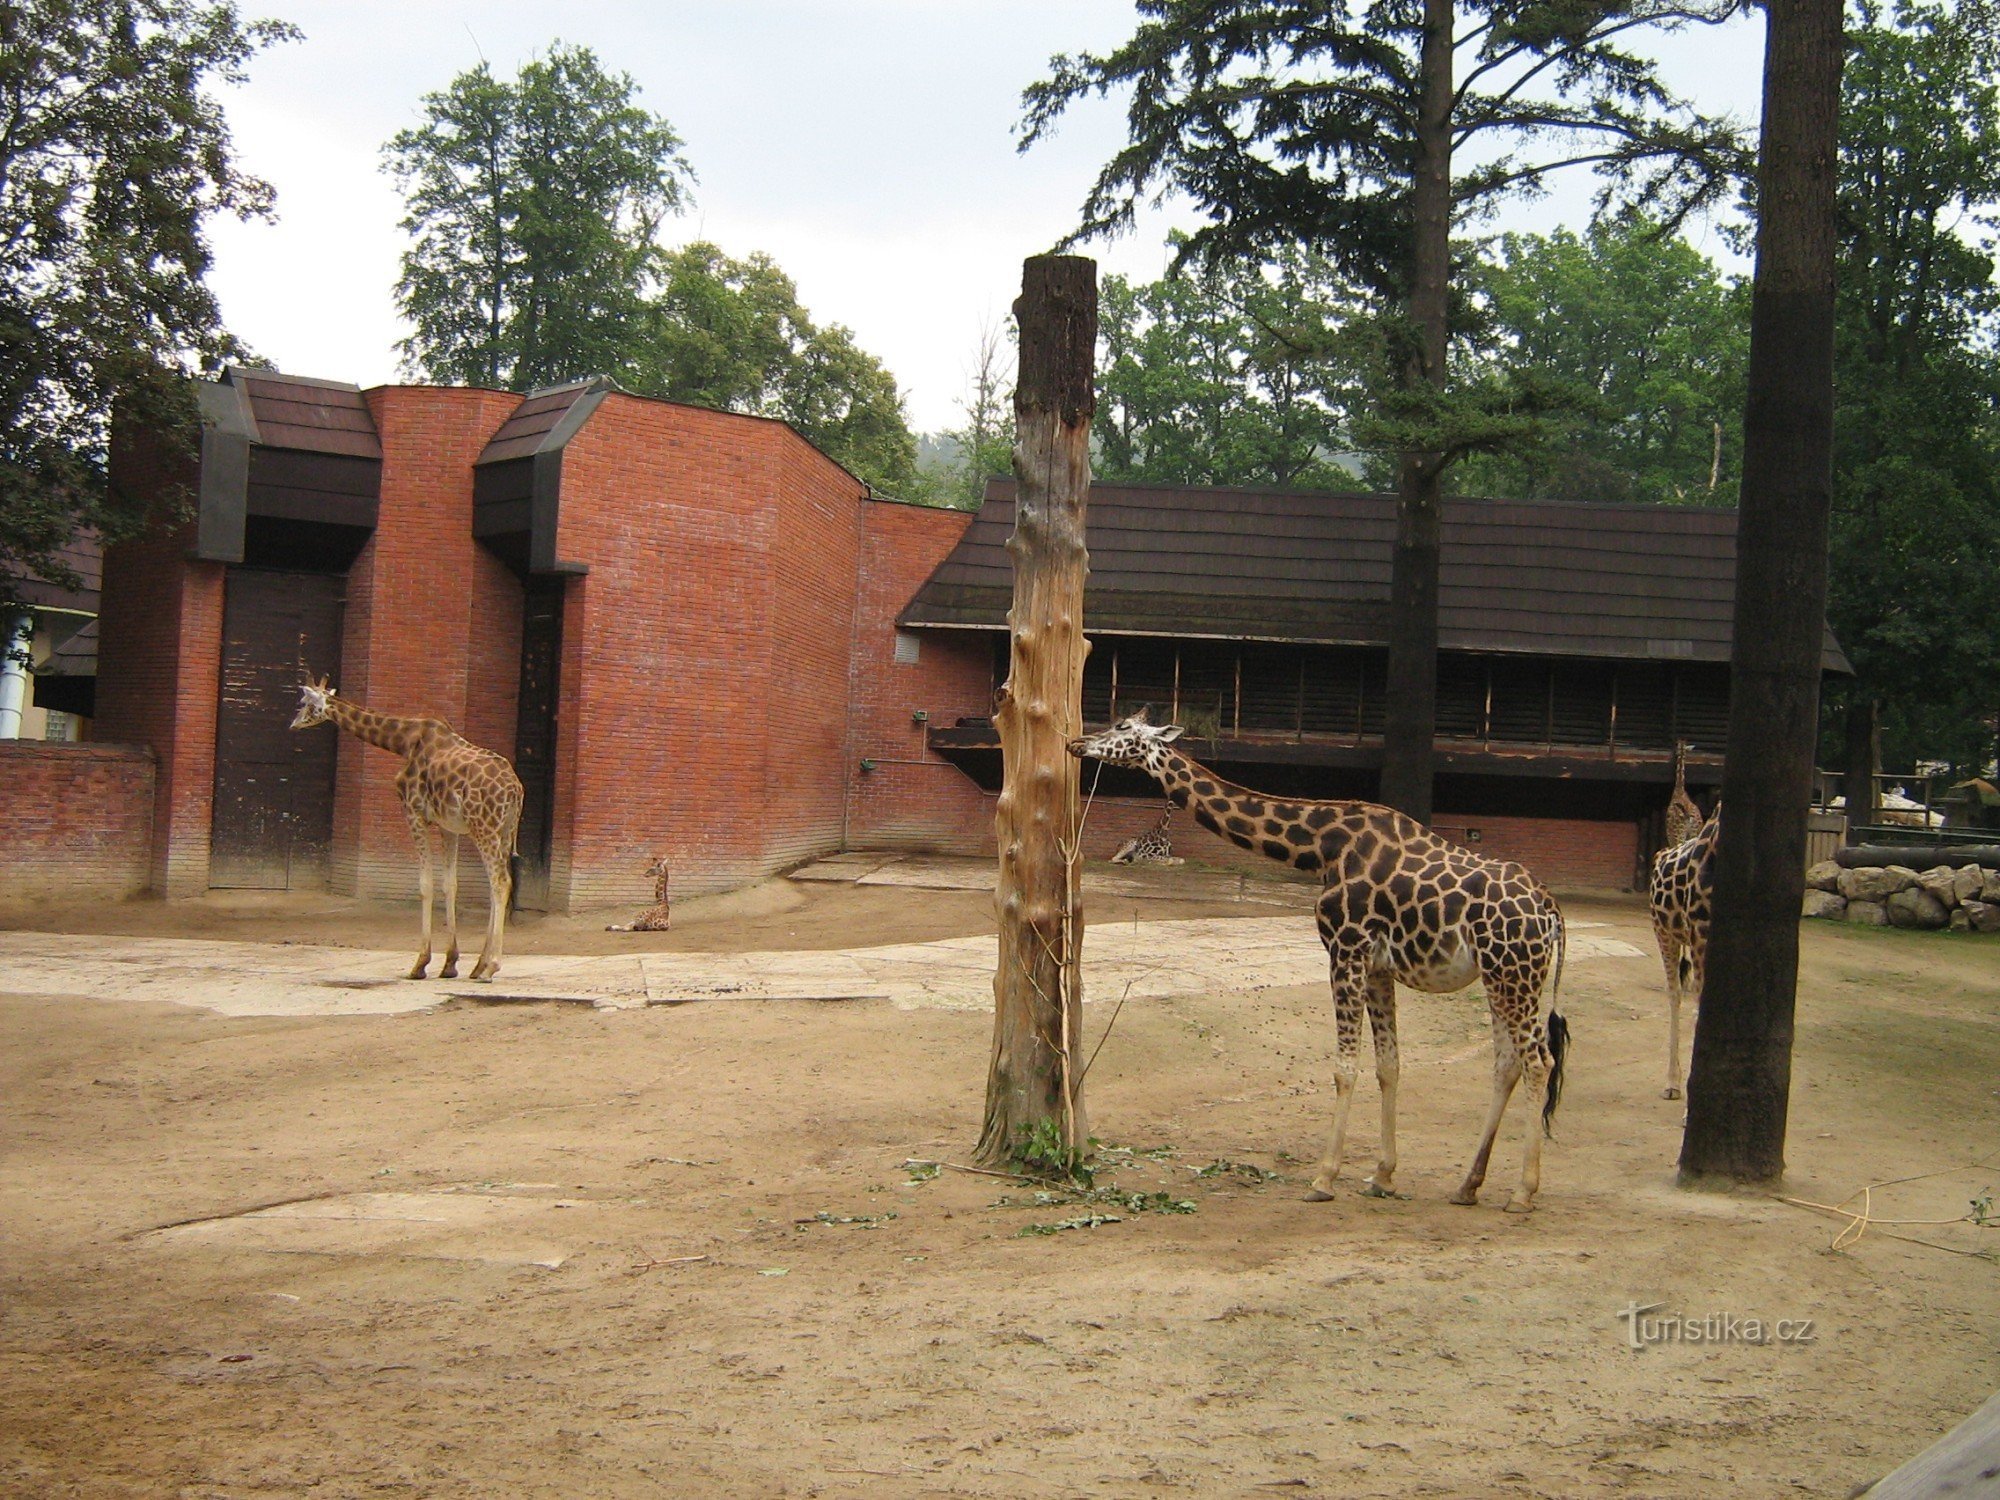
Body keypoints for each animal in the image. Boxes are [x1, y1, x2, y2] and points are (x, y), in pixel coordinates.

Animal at [292, 680, 528, 988]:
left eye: (305, 704)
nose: (293, 724)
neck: (403, 742)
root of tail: (514, 789)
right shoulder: (448, 826)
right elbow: (450, 885)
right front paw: (450, 964)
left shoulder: (414, 813)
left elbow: (425, 885)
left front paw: (420, 964)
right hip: (502, 830)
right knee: (499, 883)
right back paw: (480, 966)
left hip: (484, 827)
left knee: (500, 882)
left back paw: (491, 968)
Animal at [1072, 712, 1568, 1216]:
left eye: (1122, 728)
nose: (1077, 743)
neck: (1320, 847)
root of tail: (1552, 912)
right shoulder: (1378, 966)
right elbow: (1388, 1065)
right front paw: (1382, 1175)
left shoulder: (1345, 948)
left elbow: (1343, 1068)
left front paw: (1324, 1177)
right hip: (1500, 977)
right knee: (1506, 1063)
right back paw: (1469, 1184)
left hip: (1515, 974)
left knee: (1539, 1061)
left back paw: (1523, 1191)